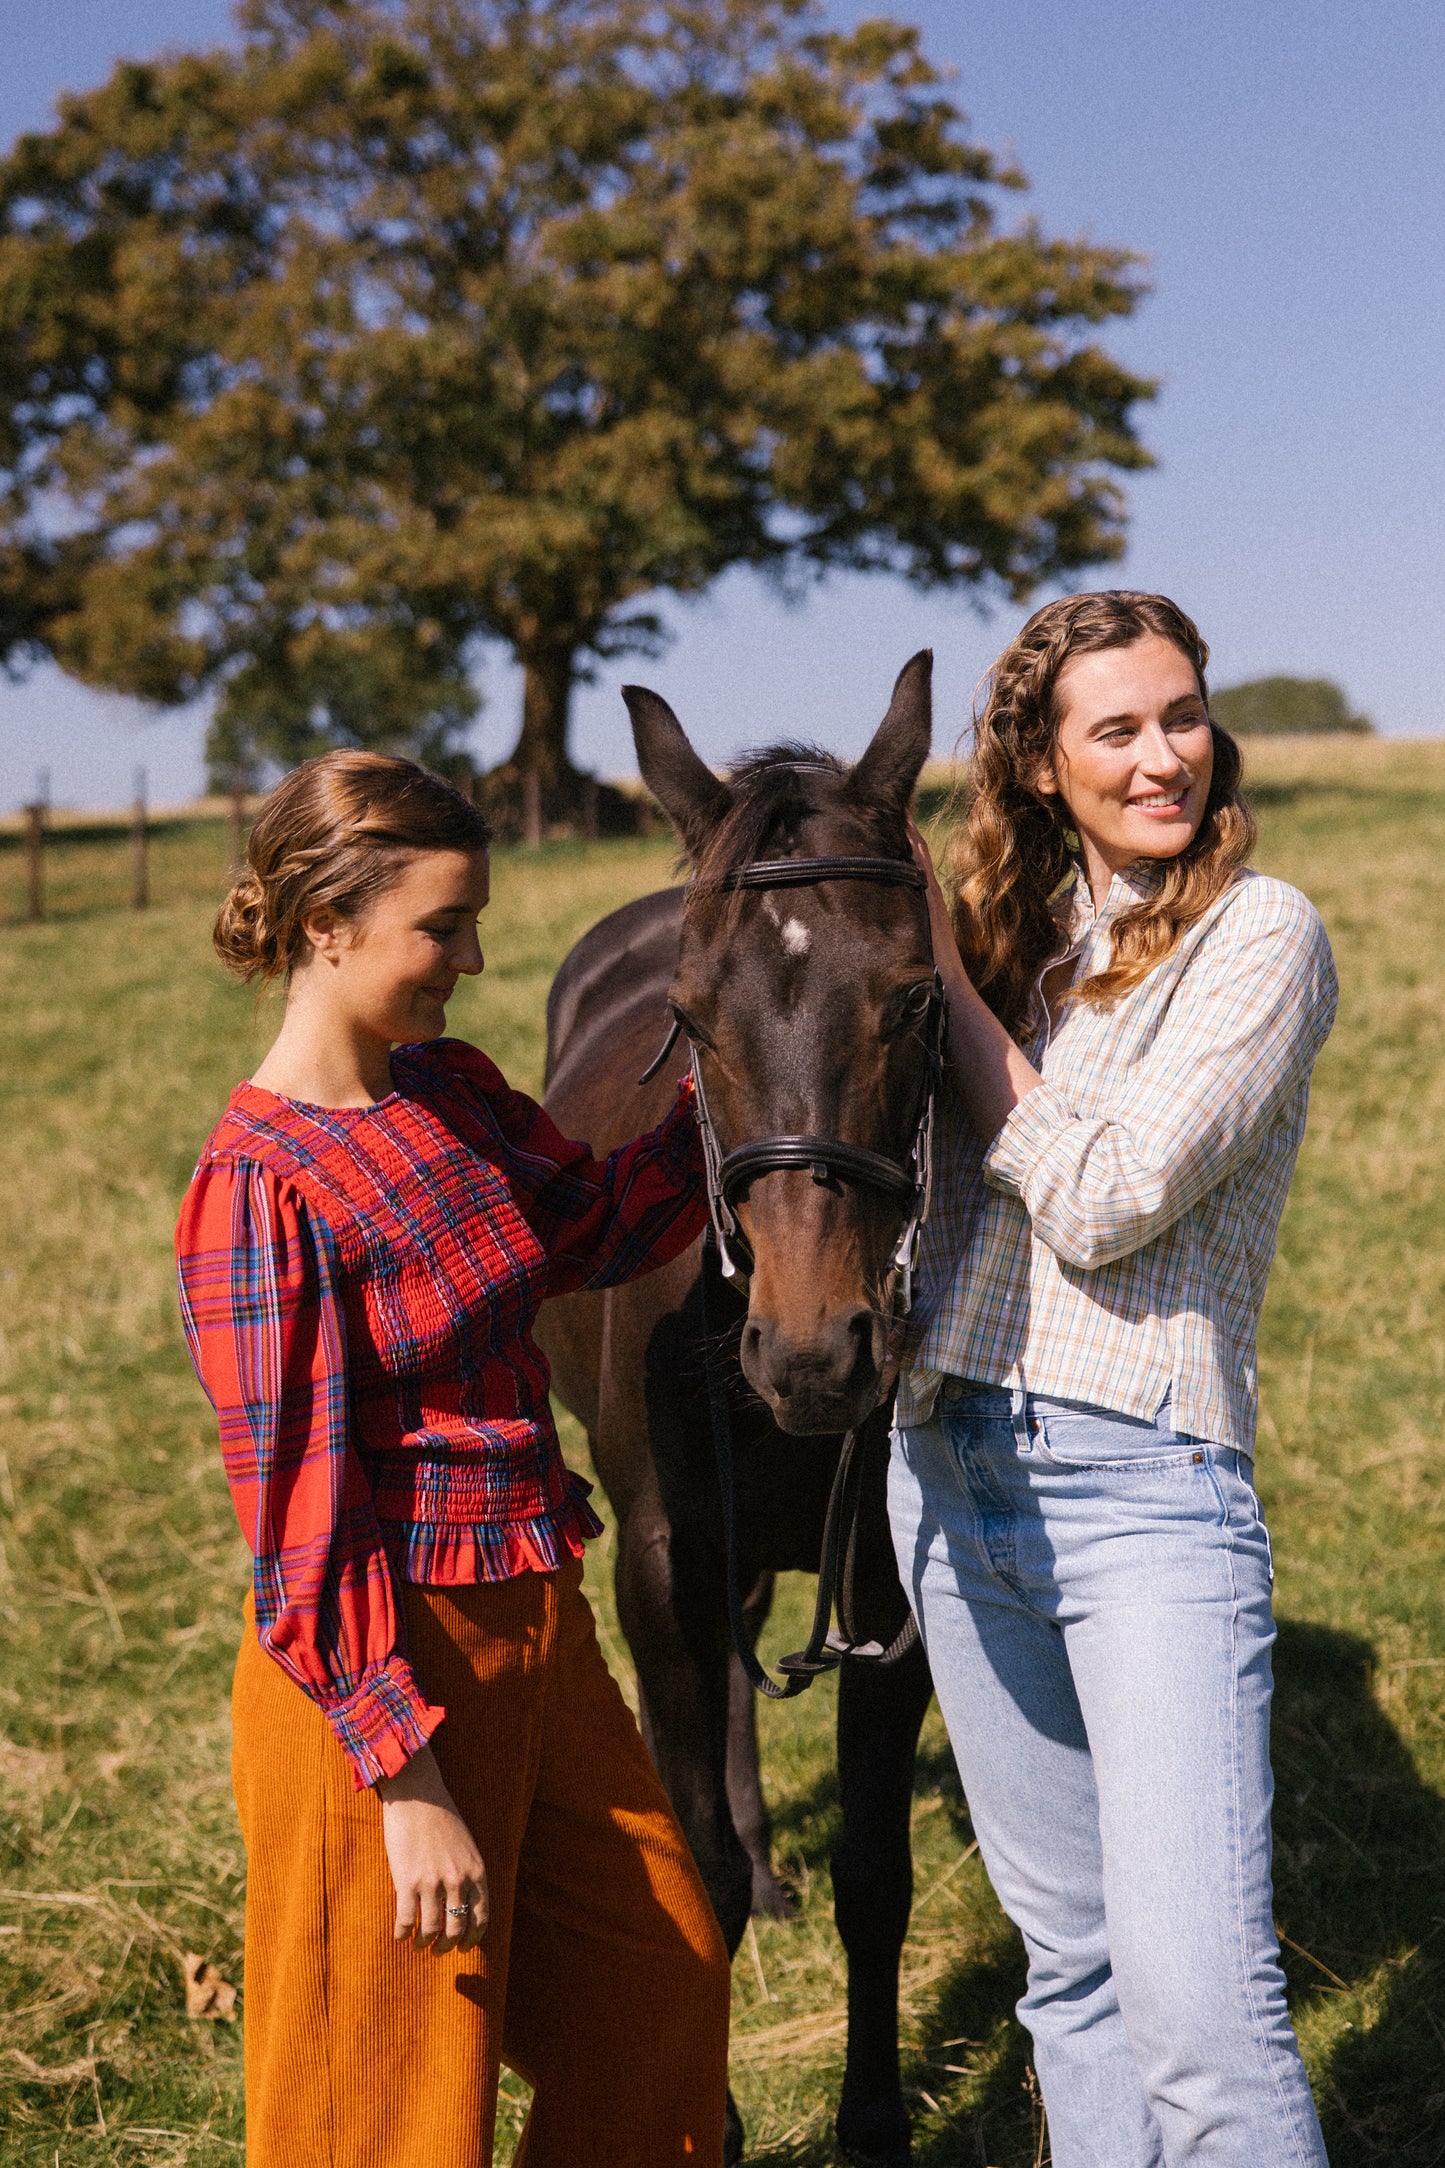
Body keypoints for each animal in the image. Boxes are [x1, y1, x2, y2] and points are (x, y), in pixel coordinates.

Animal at [539, 659, 940, 2168]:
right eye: (693, 1019)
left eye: (912, 1000)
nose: (815, 1350)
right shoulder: (661, 1564)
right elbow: (692, 1864)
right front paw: (697, 2114)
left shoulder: (884, 1579)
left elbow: (877, 1872)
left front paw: (873, 2122)